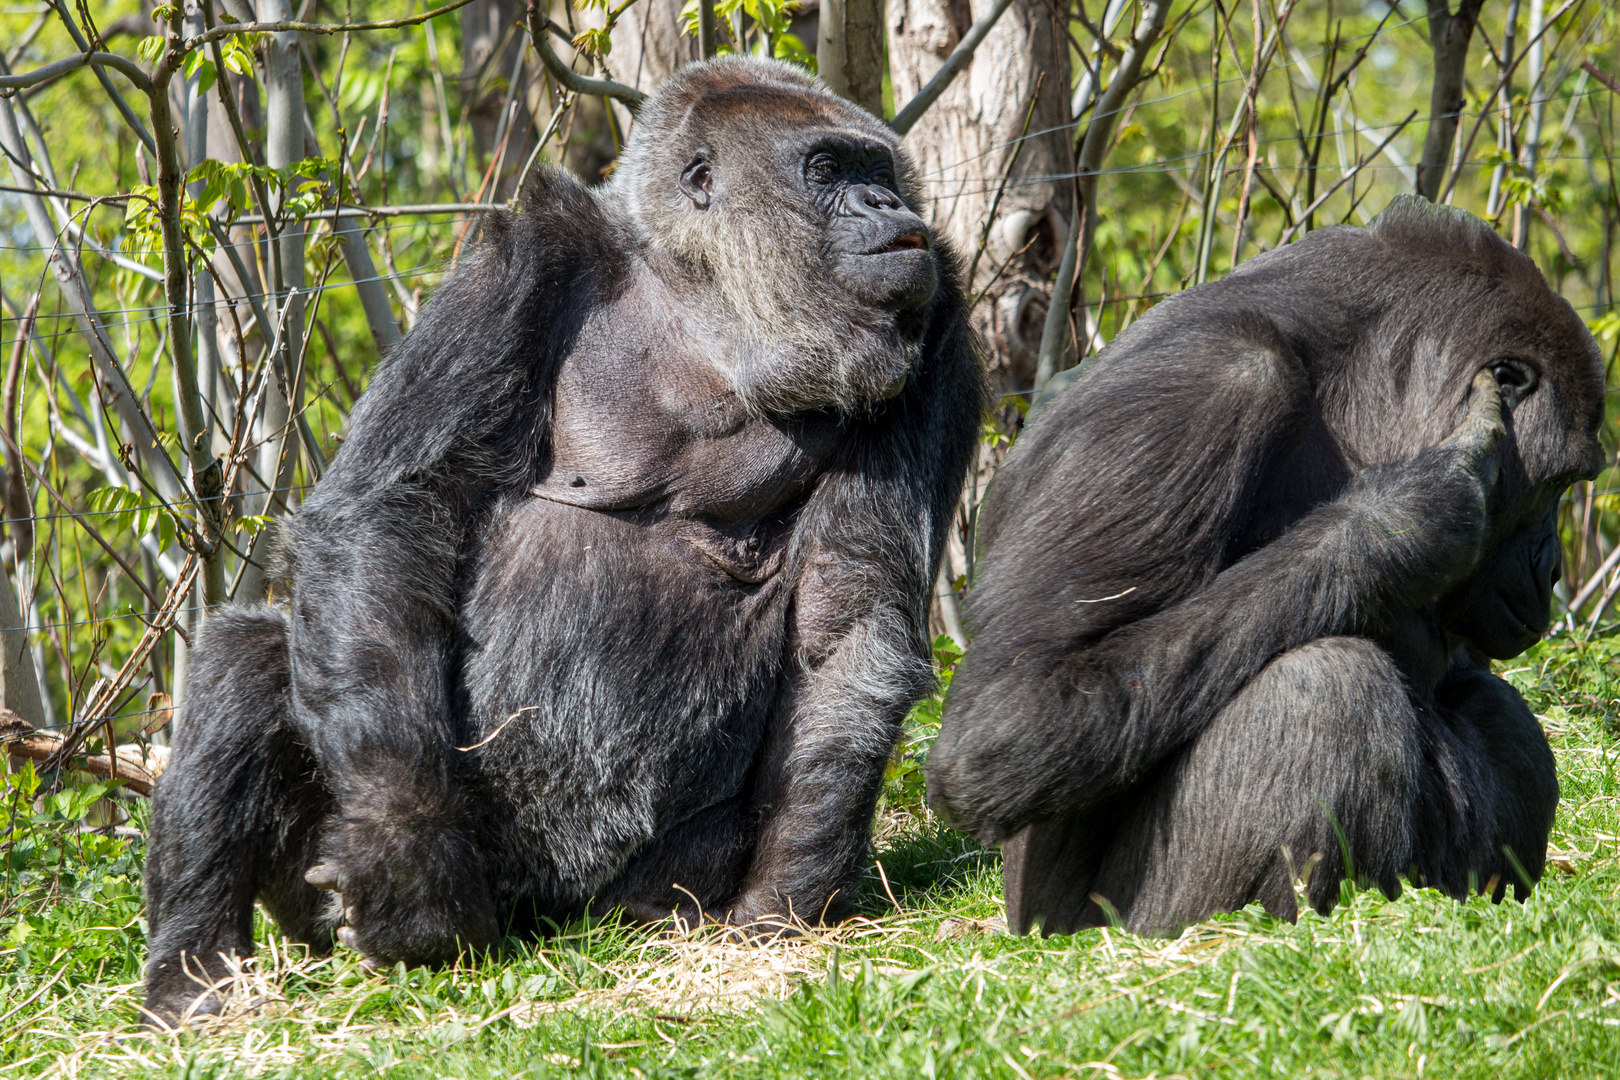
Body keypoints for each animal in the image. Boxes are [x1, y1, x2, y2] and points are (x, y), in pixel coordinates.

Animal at [145, 57, 978, 1023]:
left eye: (880, 171)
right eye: (829, 171)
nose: (887, 206)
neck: (707, 304)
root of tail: (548, 920)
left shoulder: (939, 325)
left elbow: (847, 623)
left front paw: (790, 890)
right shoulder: (524, 260)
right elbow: (387, 509)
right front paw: (407, 856)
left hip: (651, 893)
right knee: (247, 657)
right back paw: (193, 978)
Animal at [926, 196, 1607, 939]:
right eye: (1557, 486)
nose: (1552, 569)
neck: (1355, 390)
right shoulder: (1201, 394)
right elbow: (1007, 716)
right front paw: (1396, 522)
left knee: (1492, 711)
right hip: (1106, 925)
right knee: (1325, 686)